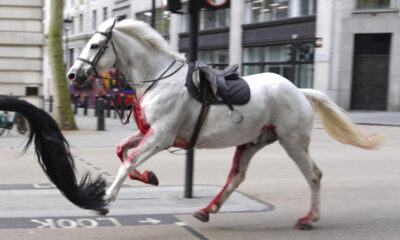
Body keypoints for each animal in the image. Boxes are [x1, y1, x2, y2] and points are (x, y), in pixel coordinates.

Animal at [66, 18, 384, 229]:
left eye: (95, 45)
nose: (72, 75)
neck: (157, 79)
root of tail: (299, 91)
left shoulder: (160, 136)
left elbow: (129, 160)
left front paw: (106, 199)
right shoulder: (150, 133)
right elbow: (122, 150)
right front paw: (148, 177)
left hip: (292, 142)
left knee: (314, 175)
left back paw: (310, 218)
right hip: (252, 142)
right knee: (236, 178)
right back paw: (208, 209)